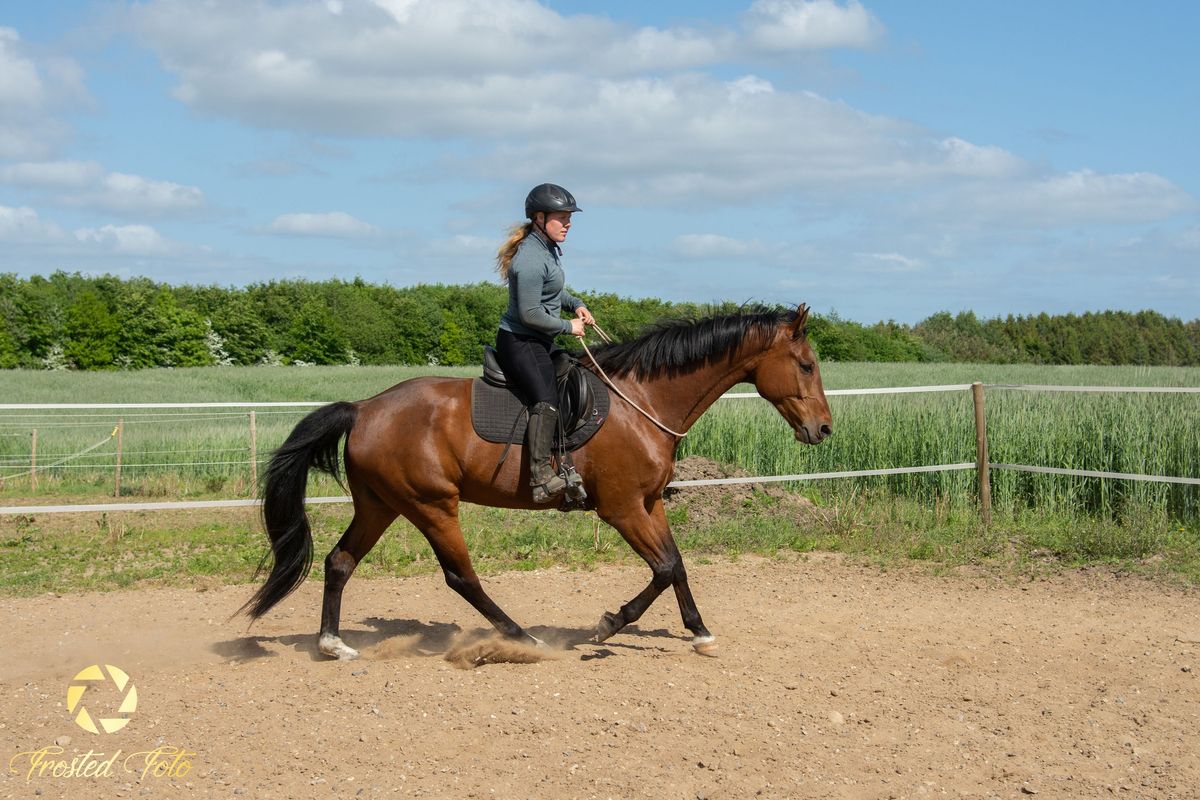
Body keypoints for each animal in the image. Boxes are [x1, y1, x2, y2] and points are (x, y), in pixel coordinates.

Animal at [240, 303, 830, 662]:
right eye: (805, 365)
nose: (823, 429)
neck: (643, 403)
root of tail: (363, 408)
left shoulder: (649, 504)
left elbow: (677, 565)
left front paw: (700, 632)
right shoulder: (621, 509)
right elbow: (663, 568)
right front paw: (607, 625)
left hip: (380, 505)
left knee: (339, 562)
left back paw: (332, 644)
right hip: (431, 505)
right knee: (461, 577)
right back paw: (524, 638)